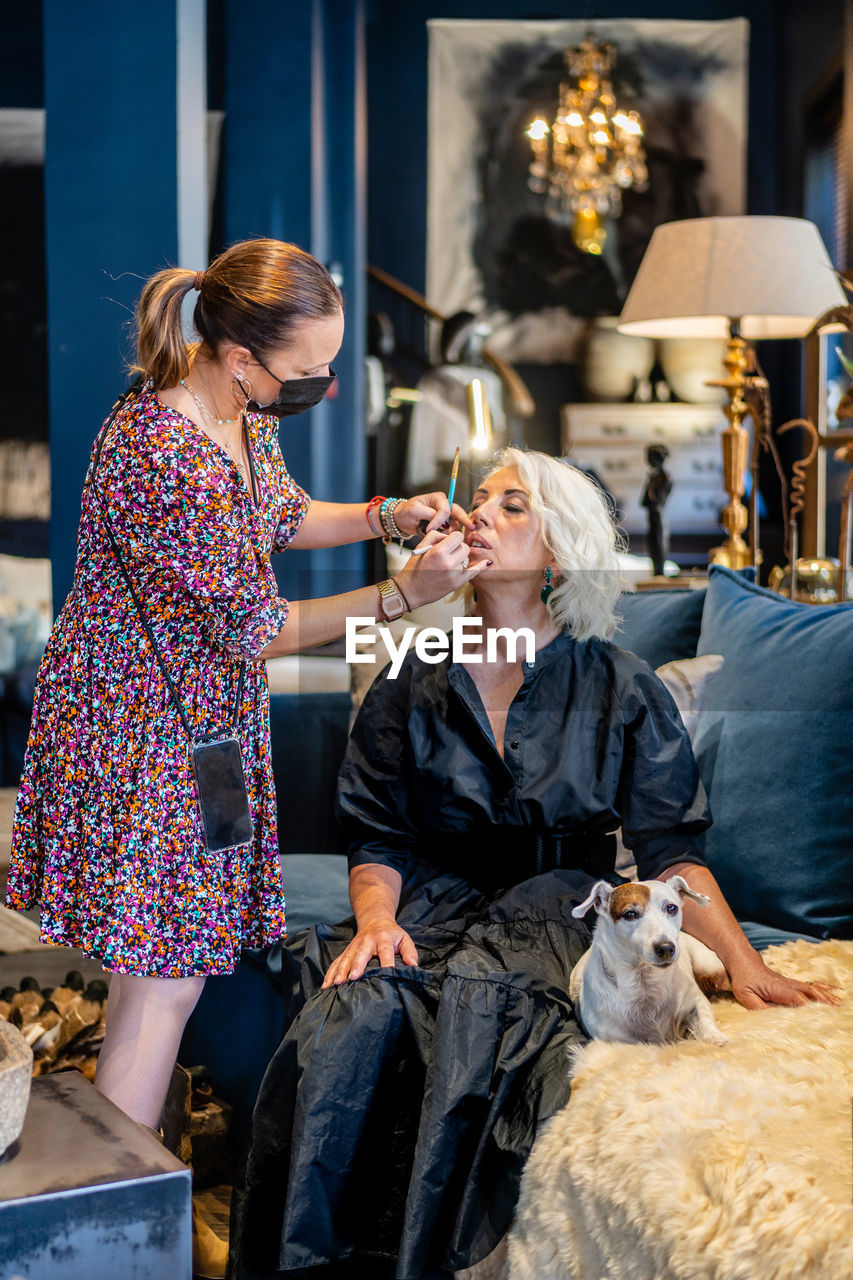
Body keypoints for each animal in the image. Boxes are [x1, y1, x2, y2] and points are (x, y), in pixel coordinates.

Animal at [568, 880, 727, 1049]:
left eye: (672, 908)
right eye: (630, 914)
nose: (666, 948)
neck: (644, 982)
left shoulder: (695, 1002)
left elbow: (704, 1018)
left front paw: (717, 1038)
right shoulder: (618, 1039)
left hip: (712, 970)